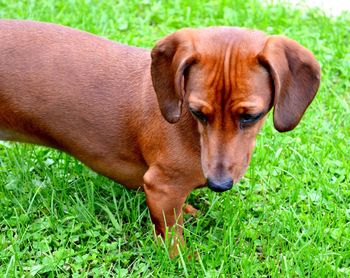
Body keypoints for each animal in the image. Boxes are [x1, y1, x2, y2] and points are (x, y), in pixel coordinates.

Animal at [0, 19, 320, 250]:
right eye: (198, 112)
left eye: (250, 116)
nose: (219, 184)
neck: (190, 130)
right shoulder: (161, 188)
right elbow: (173, 241)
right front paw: (184, 261)